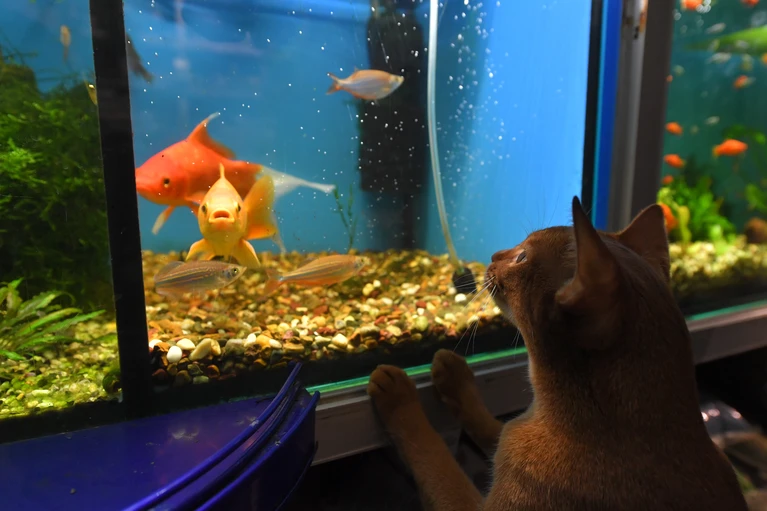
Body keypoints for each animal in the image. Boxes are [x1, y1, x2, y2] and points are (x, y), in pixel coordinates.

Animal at [367, 197, 748, 511]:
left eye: (521, 257)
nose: (493, 255)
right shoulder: (508, 441)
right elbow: (491, 427)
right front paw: (454, 373)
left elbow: (435, 458)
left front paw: (397, 392)